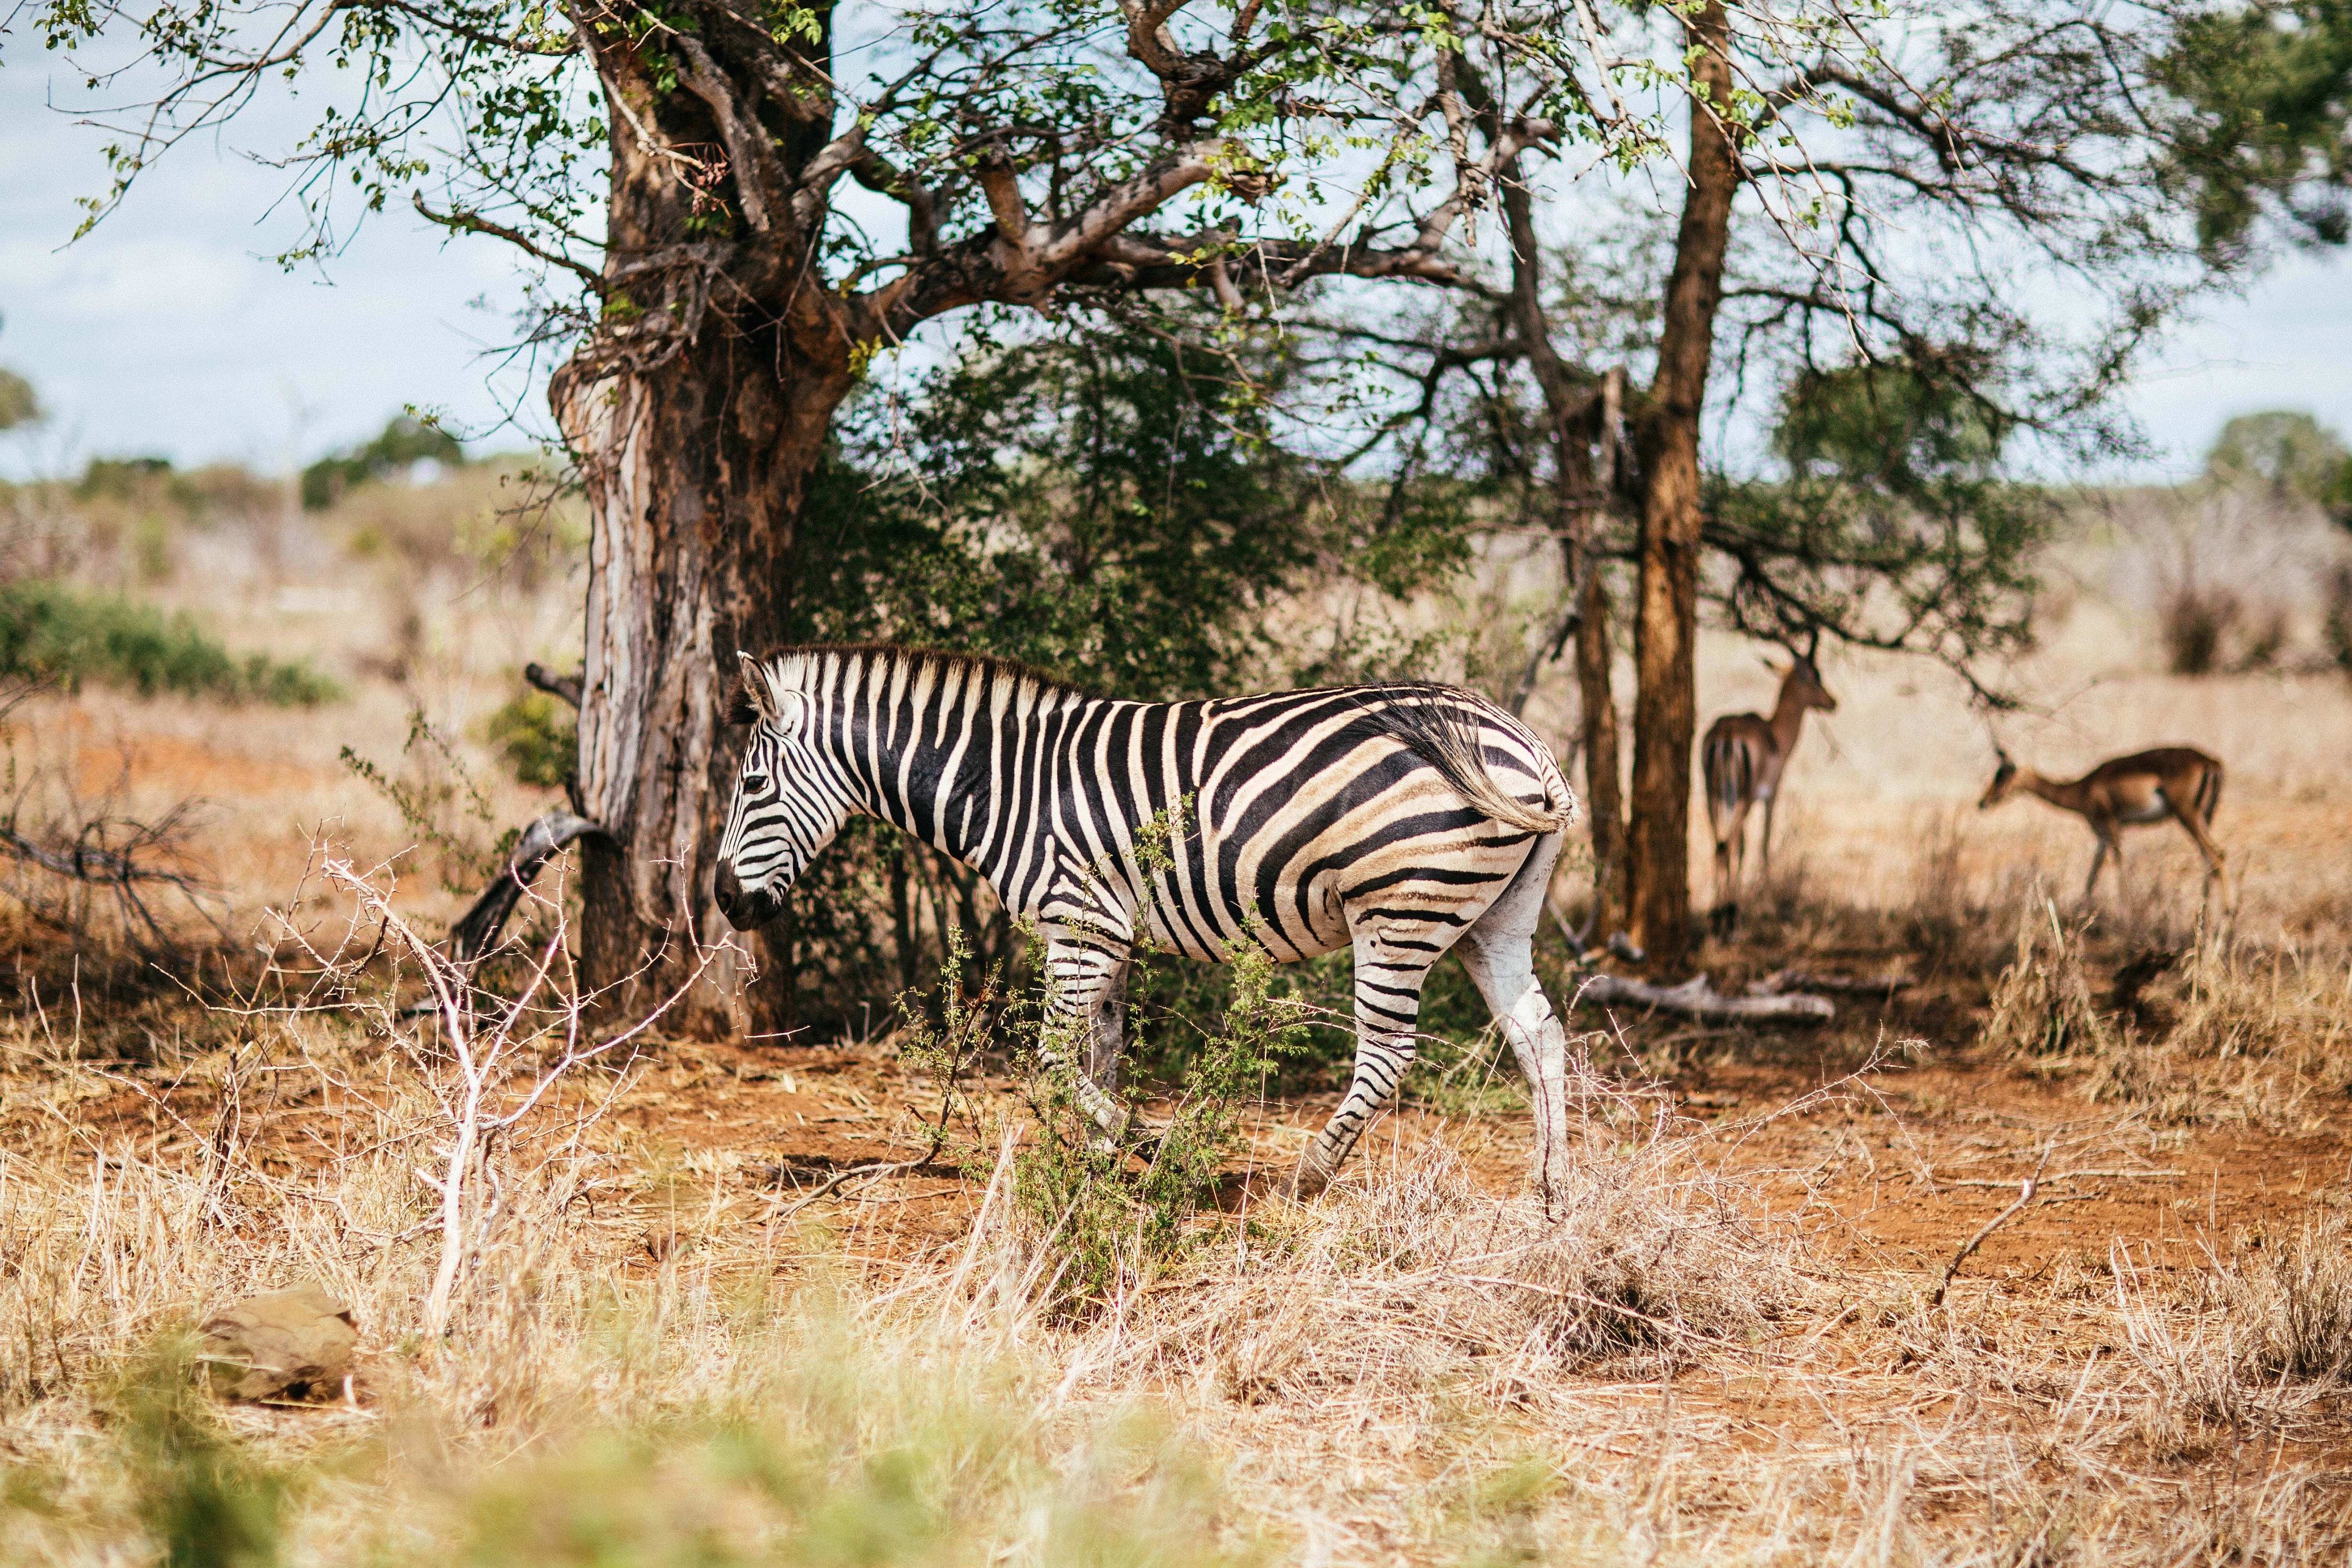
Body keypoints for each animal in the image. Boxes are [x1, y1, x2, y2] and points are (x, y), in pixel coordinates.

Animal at [710, 644, 1580, 1213]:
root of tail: (1523, 741)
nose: (723, 900)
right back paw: (1552, 1186)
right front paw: (1097, 1170)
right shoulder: (1106, 937)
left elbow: (1052, 1059)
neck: (1004, 784)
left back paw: (1308, 1173)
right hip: (1491, 918)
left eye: (751, 785)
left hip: (1397, 905)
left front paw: (1149, 1145)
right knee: (1536, 1031)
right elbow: (1098, 1055)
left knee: (1390, 1049)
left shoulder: (1080, 924)